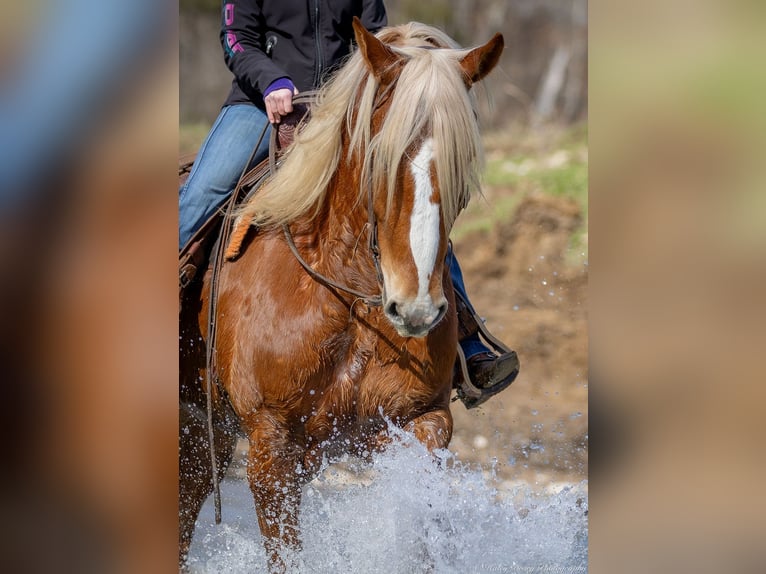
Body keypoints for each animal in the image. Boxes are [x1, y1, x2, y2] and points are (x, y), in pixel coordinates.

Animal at [179, 18, 504, 572]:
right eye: (379, 158)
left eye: (462, 168)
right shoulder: (272, 446)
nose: (414, 308)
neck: (349, 299)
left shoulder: (419, 422)